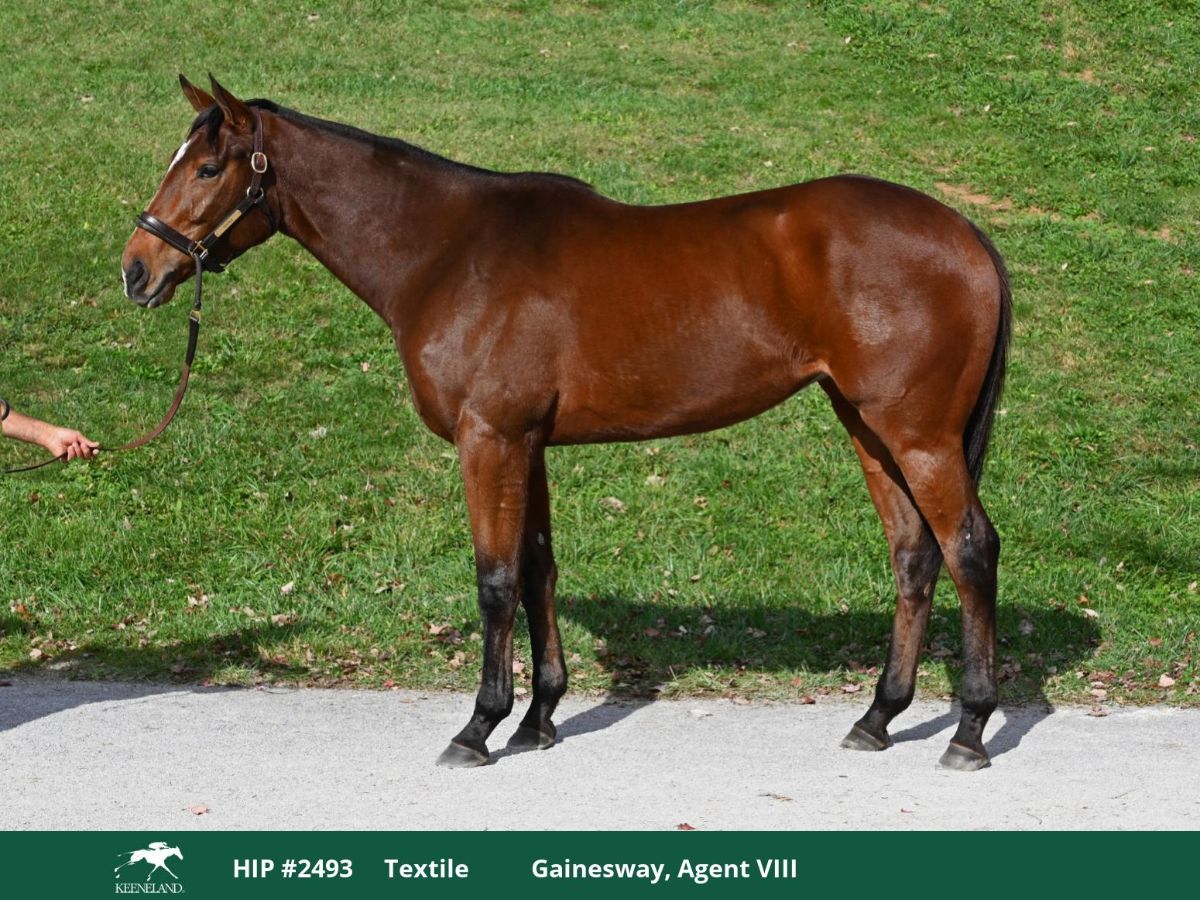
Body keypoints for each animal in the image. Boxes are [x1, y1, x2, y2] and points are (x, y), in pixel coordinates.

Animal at [122, 75, 1011, 771]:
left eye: (208, 166)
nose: (138, 268)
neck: (450, 253)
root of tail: (964, 233)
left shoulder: (489, 440)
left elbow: (495, 580)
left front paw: (479, 727)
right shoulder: (528, 443)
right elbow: (539, 569)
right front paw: (539, 719)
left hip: (919, 436)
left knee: (969, 549)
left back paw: (968, 730)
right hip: (868, 427)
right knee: (913, 555)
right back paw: (877, 718)